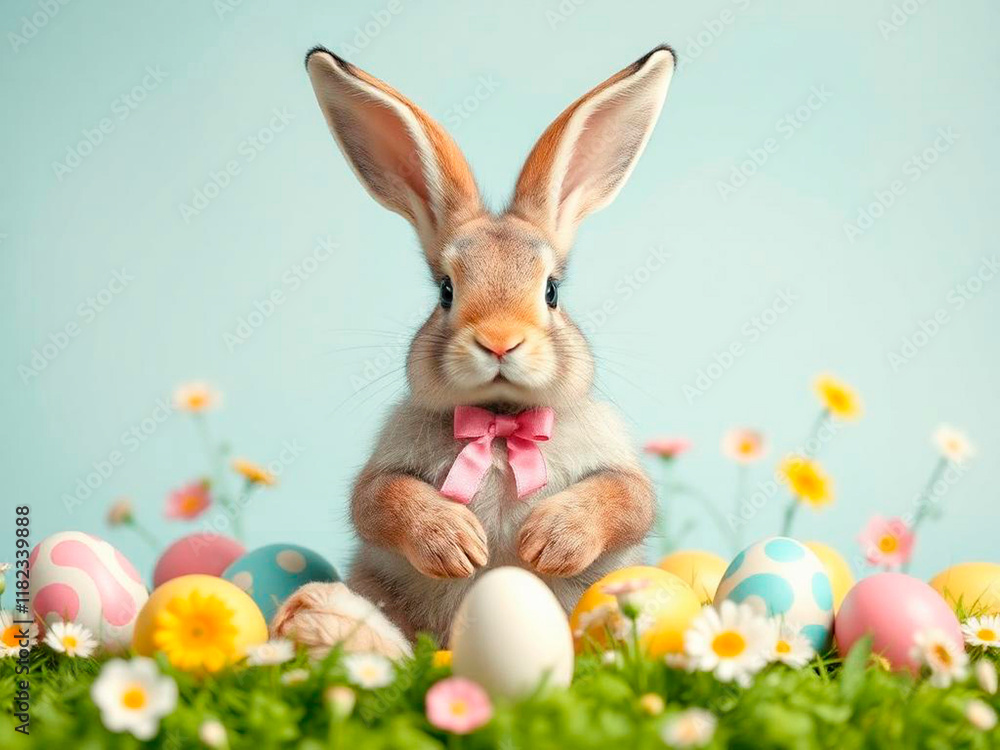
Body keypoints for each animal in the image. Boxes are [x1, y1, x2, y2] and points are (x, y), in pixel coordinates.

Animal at [290, 44, 677, 647]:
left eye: (552, 290)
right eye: (446, 291)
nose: (499, 342)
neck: (499, 425)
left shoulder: (618, 472)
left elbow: (628, 499)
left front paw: (550, 540)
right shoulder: (382, 475)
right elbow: (377, 500)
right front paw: (455, 544)